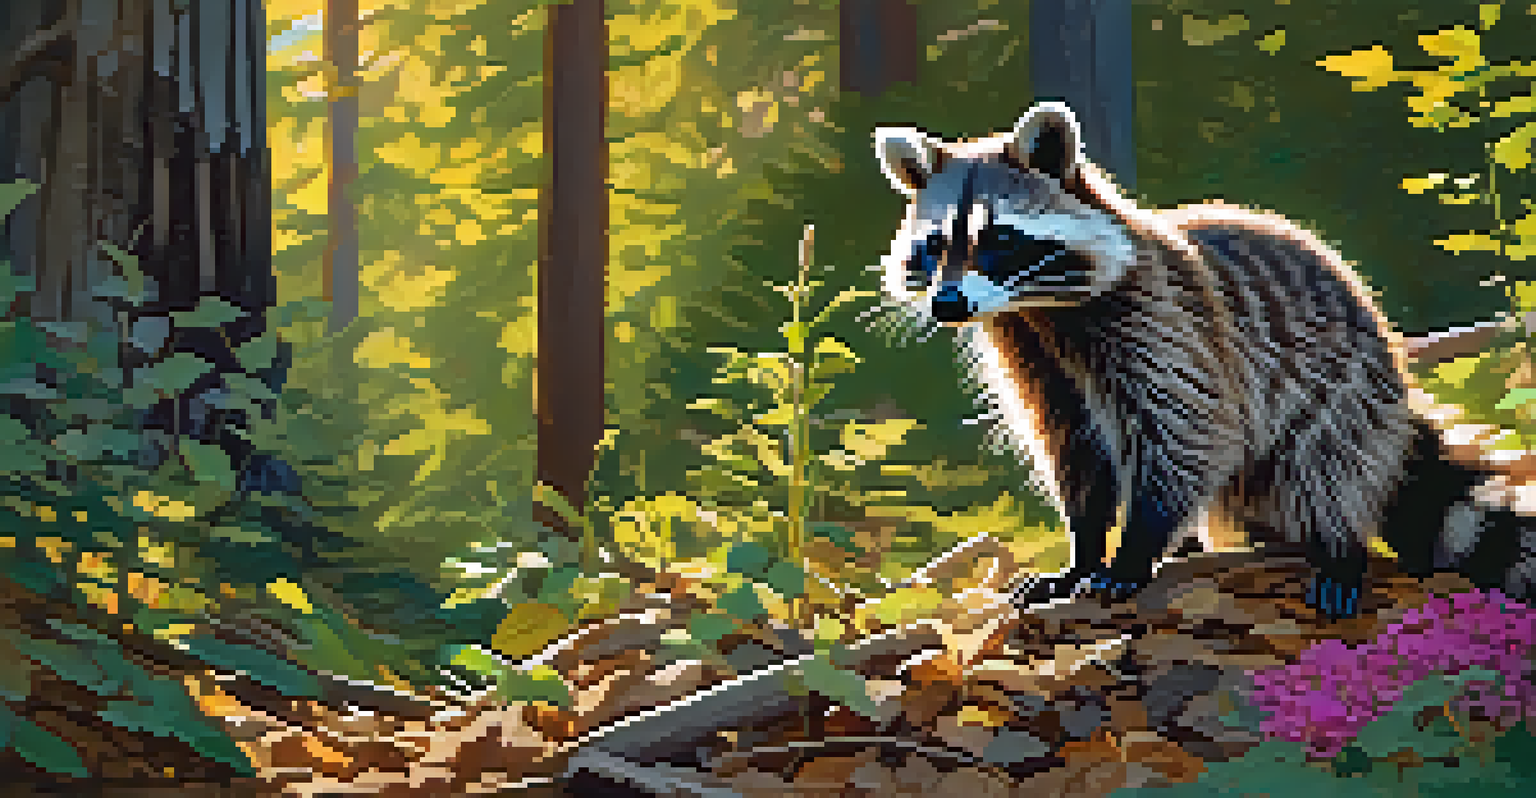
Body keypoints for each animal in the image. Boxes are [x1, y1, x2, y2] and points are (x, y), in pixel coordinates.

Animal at [870, 101, 1497, 619]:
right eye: (934, 245)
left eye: (998, 237)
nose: (948, 303)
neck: (1037, 310)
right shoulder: (1034, 360)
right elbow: (1075, 450)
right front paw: (1084, 552)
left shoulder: (1164, 323)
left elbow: (1186, 431)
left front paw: (1134, 550)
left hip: (1347, 386)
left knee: (1327, 462)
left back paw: (1341, 547)